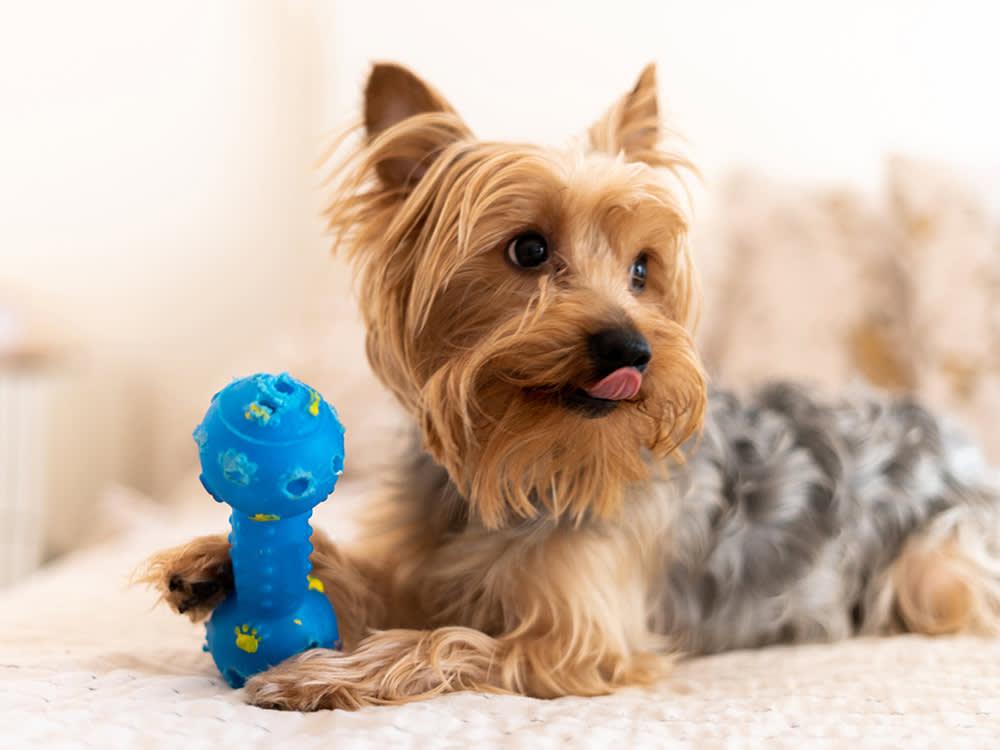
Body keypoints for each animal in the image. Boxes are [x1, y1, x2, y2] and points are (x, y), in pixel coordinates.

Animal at [145, 63, 1000, 712]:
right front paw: (217, 560)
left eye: (643, 269)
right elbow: (374, 582)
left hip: (939, 567)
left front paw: (321, 671)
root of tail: (949, 434)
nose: (633, 348)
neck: (520, 456)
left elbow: (443, 641)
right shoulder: (431, 568)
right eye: (527, 249)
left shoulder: (576, 645)